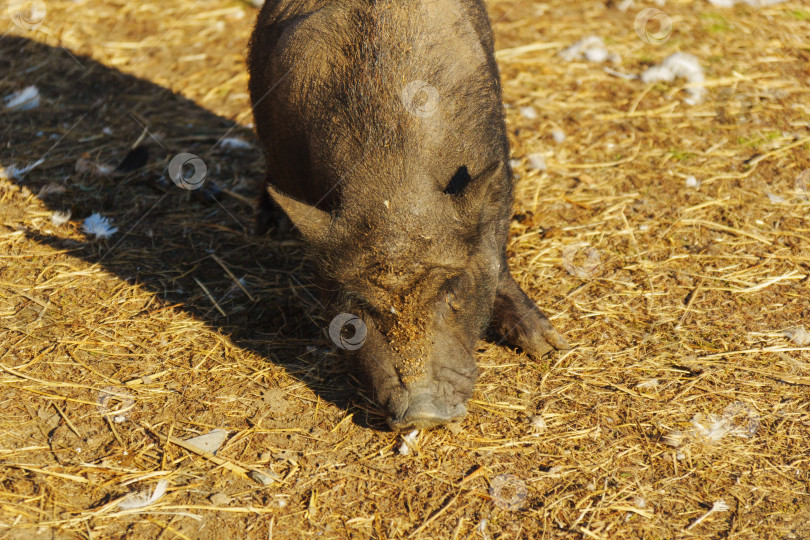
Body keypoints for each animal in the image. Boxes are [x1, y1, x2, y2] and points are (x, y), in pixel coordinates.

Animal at [247, 0, 569, 431]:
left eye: (452, 289)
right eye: (356, 304)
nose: (422, 412)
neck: (392, 186)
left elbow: (497, 261)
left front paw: (550, 347)